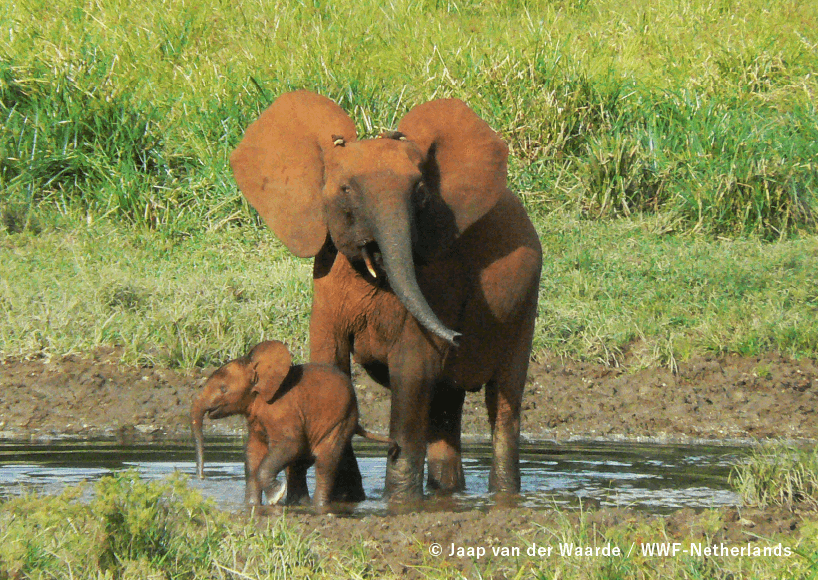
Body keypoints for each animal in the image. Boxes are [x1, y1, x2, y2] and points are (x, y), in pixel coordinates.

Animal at [191, 342, 396, 510]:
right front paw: (251, 506)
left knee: (324, 463)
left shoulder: (281, 412)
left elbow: (290, 444)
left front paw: (275, 496)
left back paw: (317, 507)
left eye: (223, 389)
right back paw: (299, 504)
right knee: (298, 466)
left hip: (341, 421)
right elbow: (253, 453)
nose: (201, 478)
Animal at [228, 88, 540, 500]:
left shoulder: (436, 278)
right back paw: (447, 493)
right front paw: (346, 498)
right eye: (345, 189)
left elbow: (413, 369)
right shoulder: (326, 276)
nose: (457, 336)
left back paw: (501, 493)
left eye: (420, 192)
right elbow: (329, 361)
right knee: (445, 405)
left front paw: (398, 501)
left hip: (525, 306)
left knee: (502, 404)